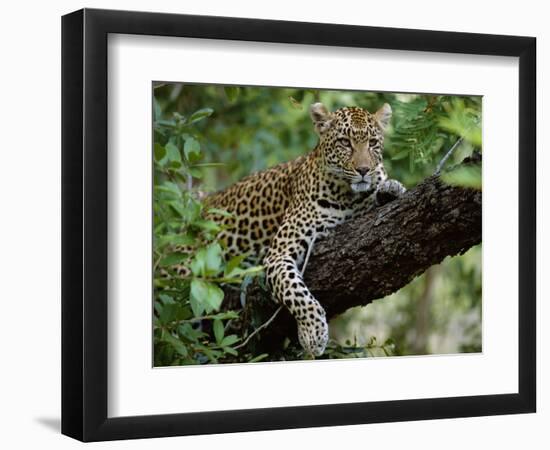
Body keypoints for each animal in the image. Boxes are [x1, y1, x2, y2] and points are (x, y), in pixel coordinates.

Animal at [176, 102, 406, 356]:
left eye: (373, 143)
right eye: (345, 142)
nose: (364, 170)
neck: (349, 196)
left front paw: (390, 189)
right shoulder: (278, 254)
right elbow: (297, 293)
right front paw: (313, 334)